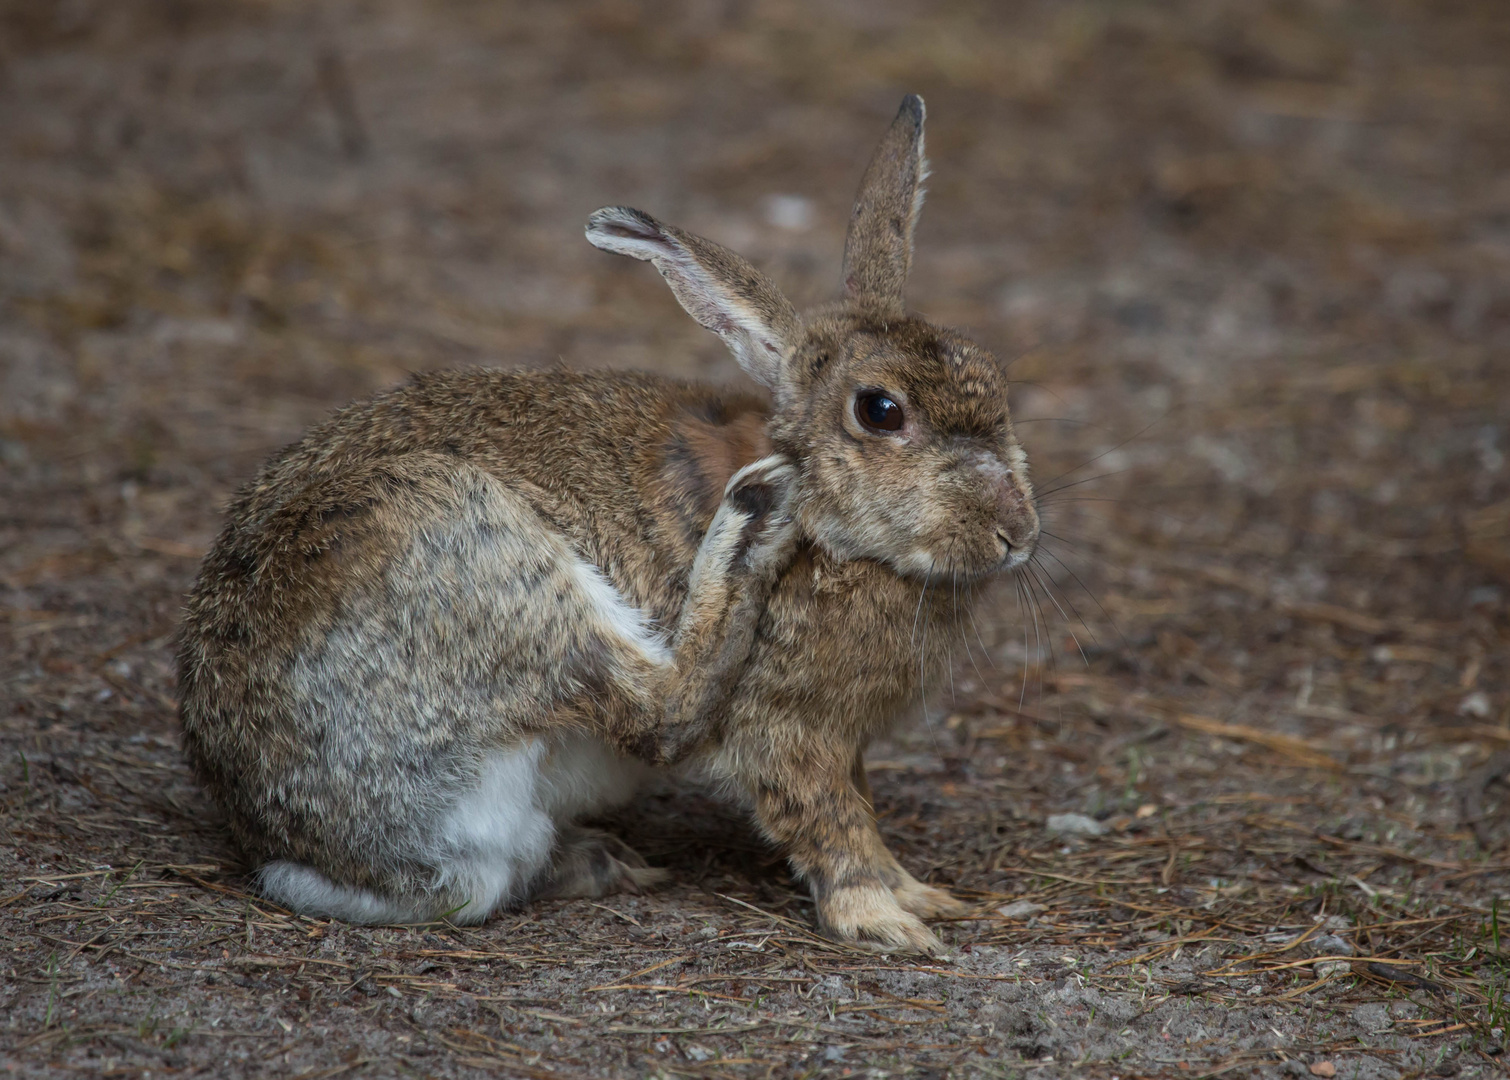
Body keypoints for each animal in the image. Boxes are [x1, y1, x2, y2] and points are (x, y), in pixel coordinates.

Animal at [176, 95, 1038, 954]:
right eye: (880, 411)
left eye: (996, 382)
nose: (1018, 533)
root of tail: (301, 845)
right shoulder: (785, 730)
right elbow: (826, 818)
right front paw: (887, 919)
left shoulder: (844, 740)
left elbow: (859, 805)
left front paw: (922, 895)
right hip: (466, 547)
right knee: (654, 712)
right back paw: (749, 527)